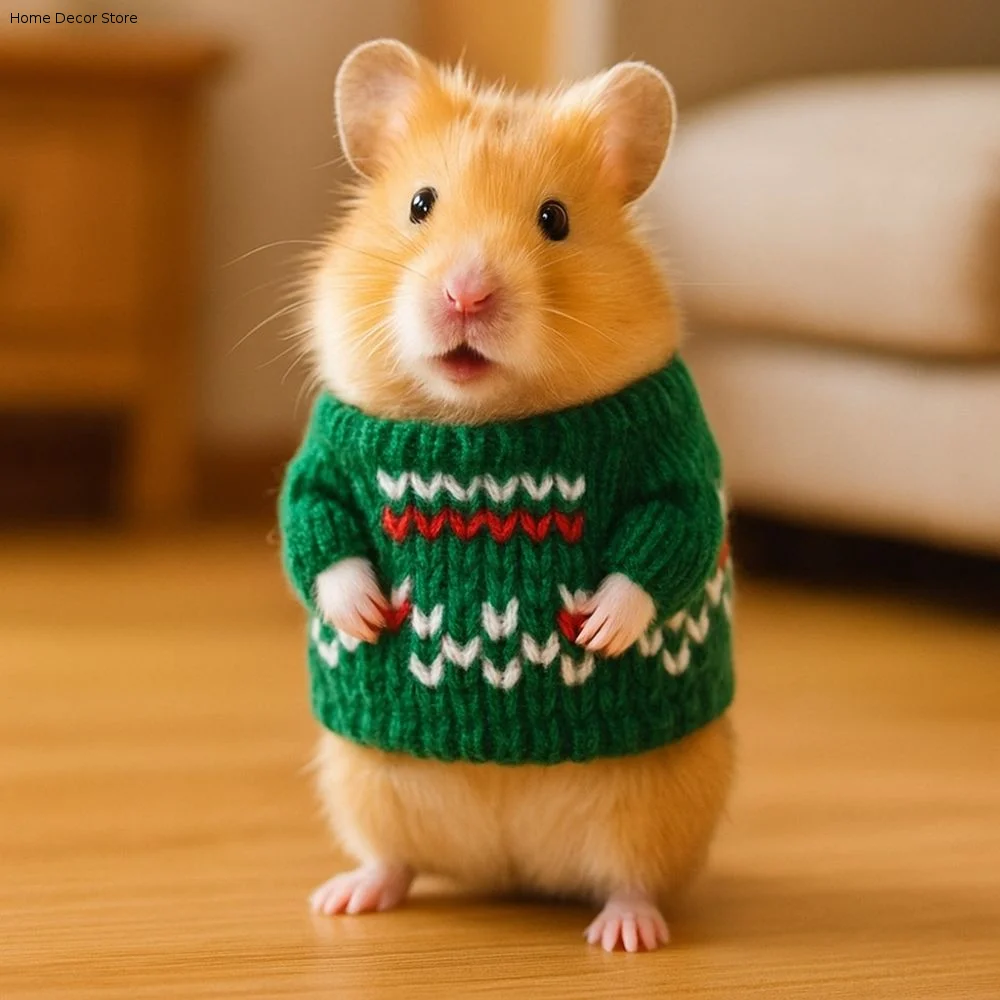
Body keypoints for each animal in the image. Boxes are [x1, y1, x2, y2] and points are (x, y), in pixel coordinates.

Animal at [293, 39, 734, 953]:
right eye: (420, 204)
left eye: (555, 220)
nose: (466, 294)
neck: (482, 420)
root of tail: (514, 870)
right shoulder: (326, 455)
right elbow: (318, 532)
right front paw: (368, 616)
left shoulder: (674, 451)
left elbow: (665, 540)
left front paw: (596, 629)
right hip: (362, 786)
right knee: (393, 858)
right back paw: (346, 898)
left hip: (658, 805)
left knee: (634, 877)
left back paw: (626, 934)